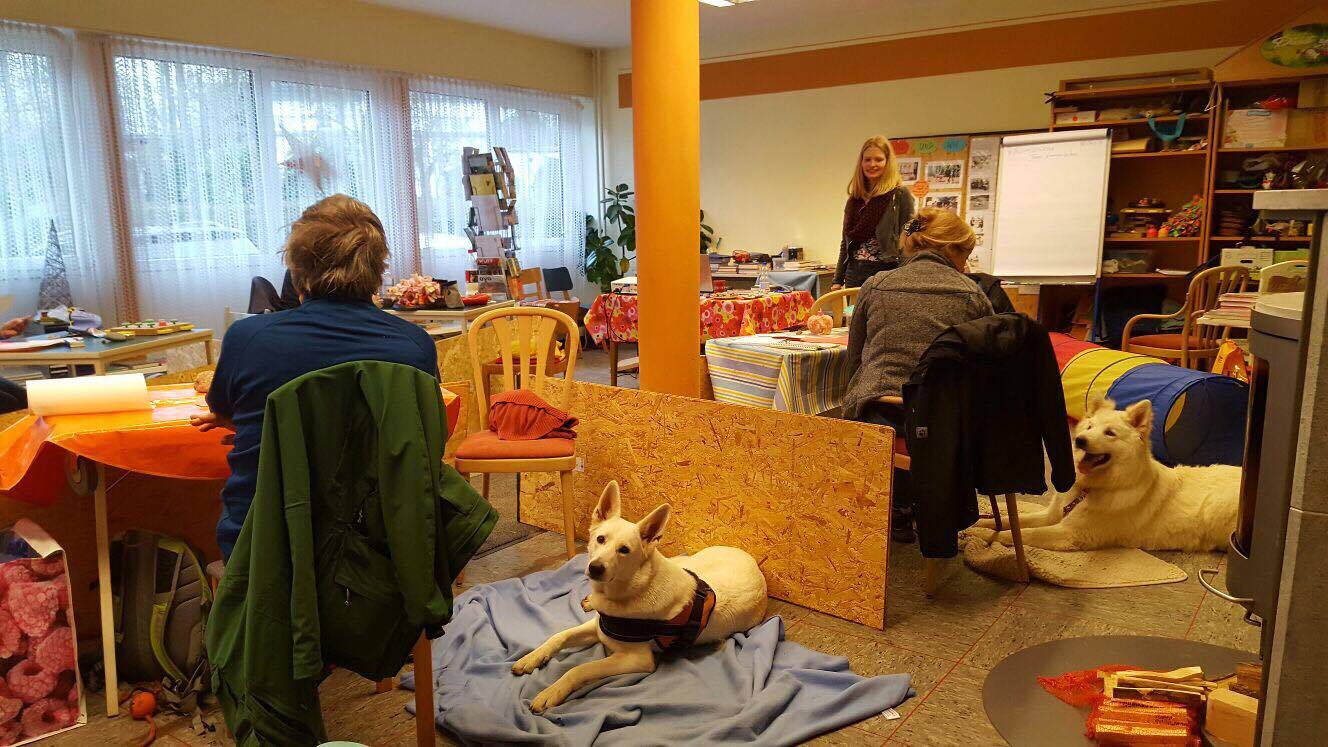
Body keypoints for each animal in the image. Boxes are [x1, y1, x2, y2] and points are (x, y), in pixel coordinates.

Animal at [511, 481, 767, 712]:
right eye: (601, 539)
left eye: (624, 550)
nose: (595, 568)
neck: (630, 589)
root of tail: (750, 559)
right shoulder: (599, 625)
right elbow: (558, 636)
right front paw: (532, 658)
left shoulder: (636, 659)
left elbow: (580, 669)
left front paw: (551, 692)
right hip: (688, 563)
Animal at [972, 397, 1240, 552]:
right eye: (1089, 428)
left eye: (1109, 433)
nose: (1079, 440)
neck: (1092, 488)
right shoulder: (1052, 515)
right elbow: (1014, 521)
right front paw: (981, 525)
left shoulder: (1070, 534)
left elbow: (1023, 533)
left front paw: (985, 536)